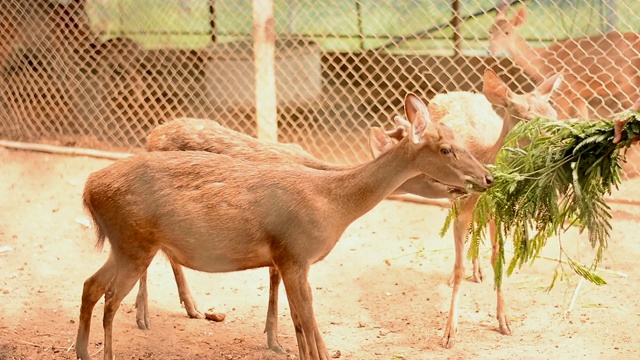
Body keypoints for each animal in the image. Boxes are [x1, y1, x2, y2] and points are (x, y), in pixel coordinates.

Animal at [76, 93, 496, 360]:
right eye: (446, 149)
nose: (487, 178)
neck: (332, 203)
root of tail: (89, 188)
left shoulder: (287, 259)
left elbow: (298, 320)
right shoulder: (294, 253)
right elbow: (307, 320)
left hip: (124, 245)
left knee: (91, 285)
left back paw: (82, 351)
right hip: (135, 241)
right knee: (111, 298)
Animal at [490, 3, 640, 119]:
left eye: (507, 32)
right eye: (490, 31)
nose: (491, 50)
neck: (543, 61)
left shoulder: (564, 91)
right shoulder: (577, 94)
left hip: (629, 84)